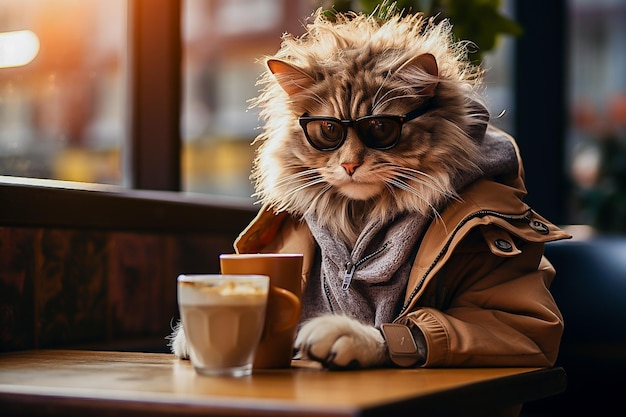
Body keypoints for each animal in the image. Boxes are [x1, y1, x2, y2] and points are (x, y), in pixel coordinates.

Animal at [169, 8, 564, 368]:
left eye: (379, 128)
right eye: (328, 130)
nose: (349, 164)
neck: (359, 218)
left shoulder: (514, 325)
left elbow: (401, 330)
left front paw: (343, 335)